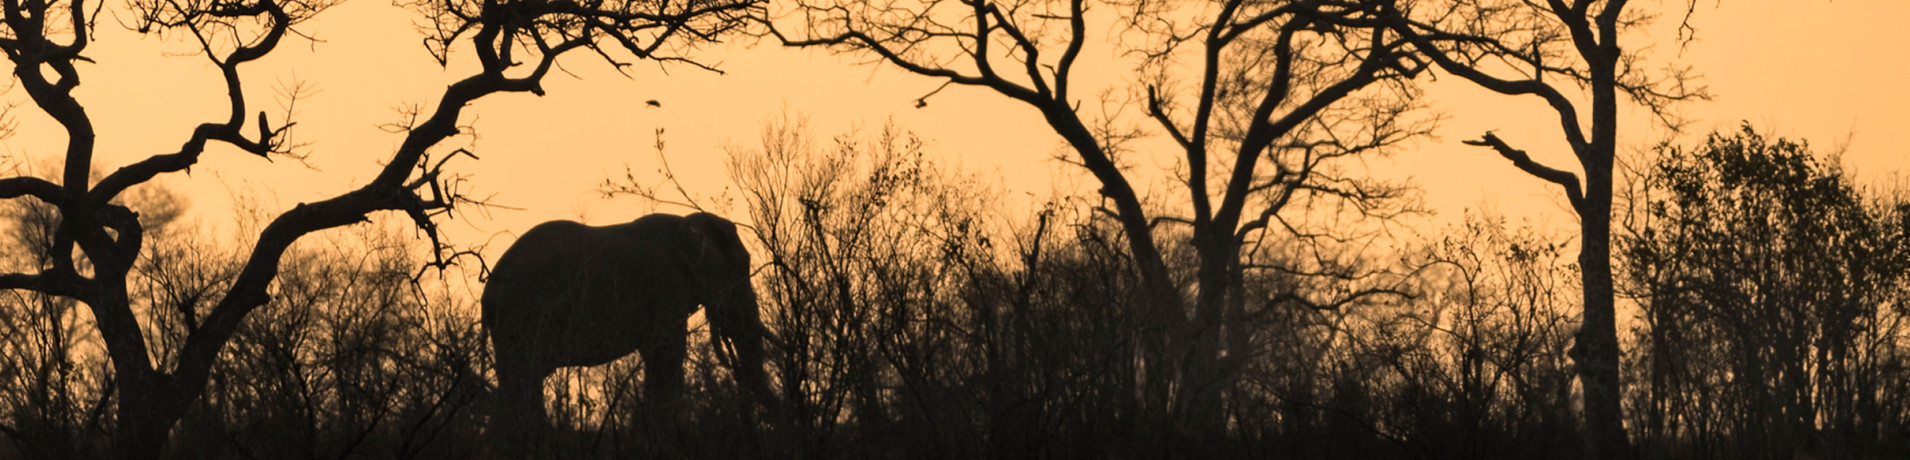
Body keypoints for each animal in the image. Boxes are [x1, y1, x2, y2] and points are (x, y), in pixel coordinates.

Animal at [481, 212, 774, 444]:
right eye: (741, 268)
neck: (686, 223)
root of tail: (491, 286)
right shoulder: (666, 287)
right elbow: (667, 356)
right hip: (524, 312)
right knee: (524, 380)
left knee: (514, 383)